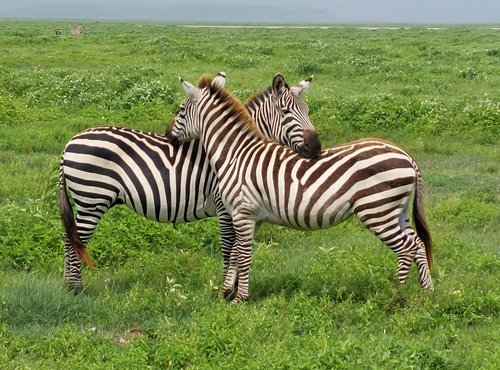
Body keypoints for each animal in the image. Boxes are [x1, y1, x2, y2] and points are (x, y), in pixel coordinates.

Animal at [59, 71, 320, 292]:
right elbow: (230, 247)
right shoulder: (225, 206)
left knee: (69, 238)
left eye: (307, 110)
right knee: (75, 241)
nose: (316, 147)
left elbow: (237, 247)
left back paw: (70, 286)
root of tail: (69, 142)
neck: (236, 149)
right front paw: (226, 289)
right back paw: (76, 290)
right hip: (92, 200)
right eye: (286, 113)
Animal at [166, 74, 432, 304]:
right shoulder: (251, 217)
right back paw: (426, 293)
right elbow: (237, 254)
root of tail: (407, 156)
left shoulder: (241, 213)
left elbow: (241, 254)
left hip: (377, 211)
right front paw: (229, 292)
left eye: (180, 110)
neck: (236, 153)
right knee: (418, 243)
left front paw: (237, 299)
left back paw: (396, 294)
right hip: (396, 212)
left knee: (406, 249)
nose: (168, 135)